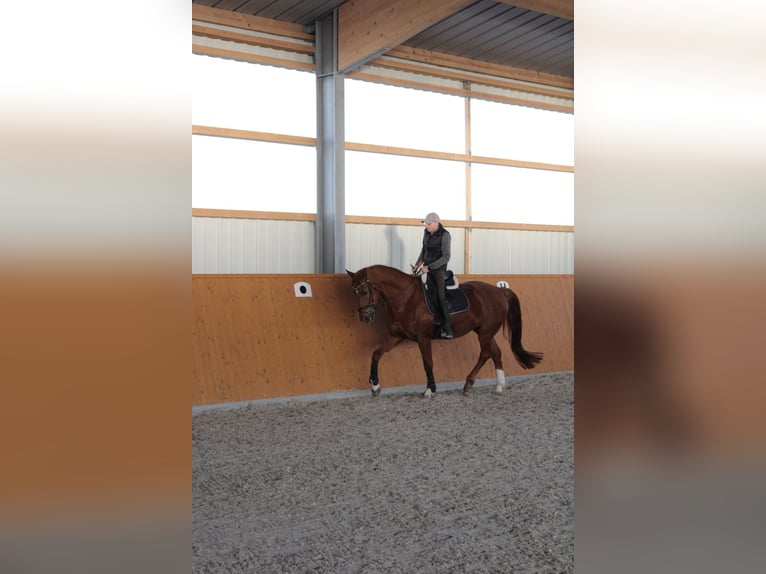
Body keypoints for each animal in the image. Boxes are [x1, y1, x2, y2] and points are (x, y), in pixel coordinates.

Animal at [346, 264, 543, 397]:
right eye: (354, 292)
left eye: (364, 292)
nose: (365, 317)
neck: (405, 298)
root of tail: (499, 291)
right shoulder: (396, 337)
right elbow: (376, 354)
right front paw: (375, 386)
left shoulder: (423, 338)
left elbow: (427, 362)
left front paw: (430, 389)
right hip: (484, 331)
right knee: (495, 352)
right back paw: (499, 386)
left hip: (485, 332)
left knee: (486, 353)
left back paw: (469, 384)